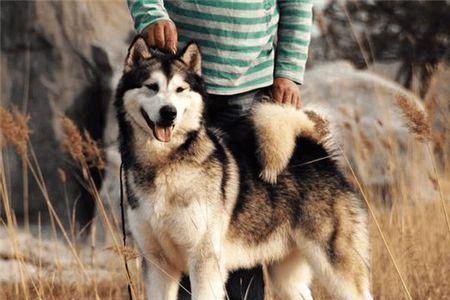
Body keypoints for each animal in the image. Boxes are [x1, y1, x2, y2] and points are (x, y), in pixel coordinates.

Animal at [115, 37, 372, 300]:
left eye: (180, 89)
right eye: (151, 86)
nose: (169, 112)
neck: (164, 164)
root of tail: (316, 152)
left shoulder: (204, 260)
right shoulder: (158, 265)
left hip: (336, 267)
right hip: (286, 278)